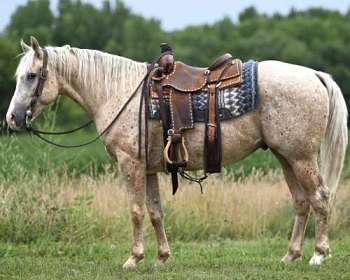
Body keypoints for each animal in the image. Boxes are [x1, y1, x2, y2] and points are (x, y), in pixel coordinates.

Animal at [6, 36, 348, 266]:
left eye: (32, 76)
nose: (12, 118)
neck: (118, 93)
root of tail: (315, 75)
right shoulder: (148, 168)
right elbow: (155, 212)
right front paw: (161, 257)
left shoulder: (129, 164)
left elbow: (135, 210)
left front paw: (134, 258)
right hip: (285, 156)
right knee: (302, 201)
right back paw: (290, 255)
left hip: (301, 158)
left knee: (320, 198)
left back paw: (318, 255)